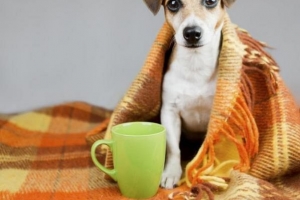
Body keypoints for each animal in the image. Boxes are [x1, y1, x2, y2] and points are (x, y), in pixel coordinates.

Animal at [144, 0, 236, 189]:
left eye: (210, 2)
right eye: (173, 4)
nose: (192, 33)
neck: (196, 64)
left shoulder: (219, 116)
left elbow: (211, 146)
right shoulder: (170, 112)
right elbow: (173, 148)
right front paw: (171, 173)